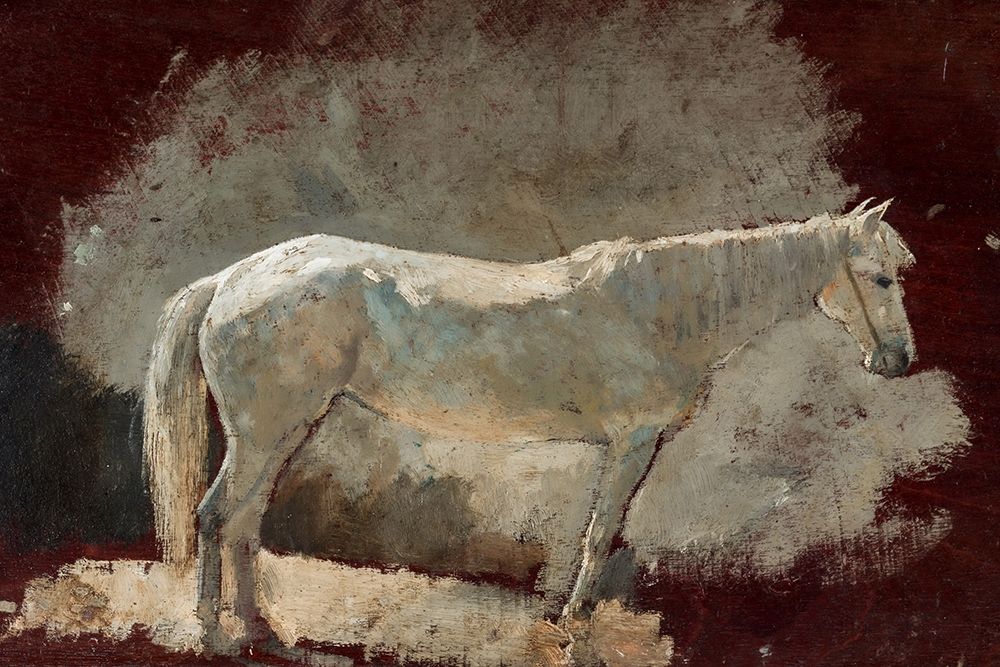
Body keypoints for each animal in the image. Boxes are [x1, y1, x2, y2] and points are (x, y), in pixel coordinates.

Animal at [143, 198, 915, 653]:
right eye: (881, 278)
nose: (900, 359)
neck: (660, 309)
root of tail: (231, 279)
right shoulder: (633, 442)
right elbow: (601, 530)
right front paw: (571, 618)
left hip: (279, 431)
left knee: (244, 522)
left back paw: (261, 628)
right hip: (266, 432)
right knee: (216, 516)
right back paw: (214, 631)